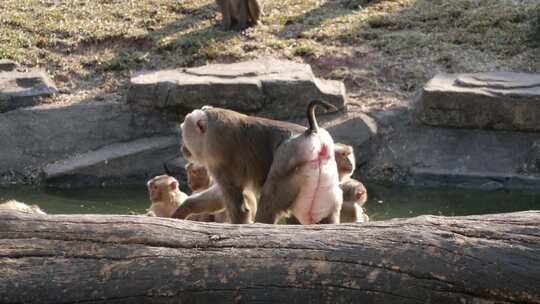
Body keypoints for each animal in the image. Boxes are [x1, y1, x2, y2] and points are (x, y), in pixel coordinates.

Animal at [173, 101, 342, 224]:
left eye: (183, 131)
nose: (182, 147)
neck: (210, 124)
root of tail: (312, 133)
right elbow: (220, 194)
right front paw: (184, 209)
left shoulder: (217, 156)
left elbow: (238, 203)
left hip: (290, 165)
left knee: (269, 200)